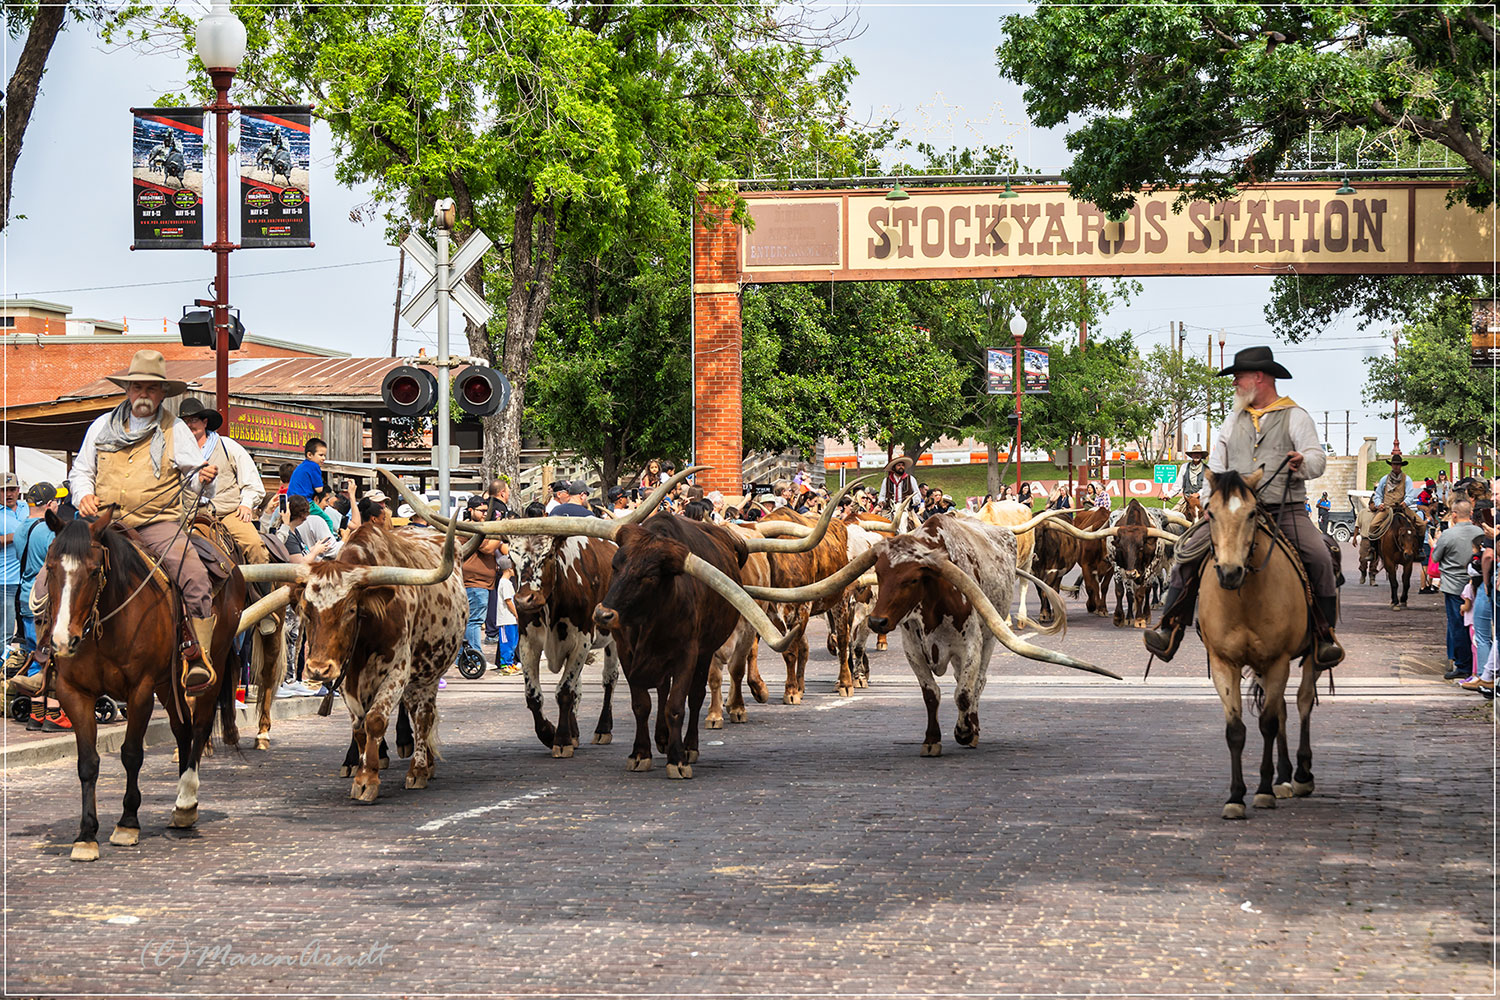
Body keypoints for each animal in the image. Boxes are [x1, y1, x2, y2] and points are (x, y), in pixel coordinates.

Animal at [38, 509, 276, 863]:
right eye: (51, 567)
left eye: (94, 570)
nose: (63, 640)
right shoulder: (74, 693)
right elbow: (88, 763)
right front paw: (86, 835)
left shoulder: (140, 691)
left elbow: (132, 754)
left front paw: (127, 823)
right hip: (168, 683)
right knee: (183, 729)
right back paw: (182, 806)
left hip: (211, 668)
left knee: (200, 726)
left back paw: (186, 800)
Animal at [1188, 473, 1320, 827]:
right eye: (1210, 512)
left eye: (1250, 514)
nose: (1230, 572)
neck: (1244, 598)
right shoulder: (1224, 663)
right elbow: (1236, 730)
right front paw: (1236, 797)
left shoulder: (1278, 661)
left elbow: (1268, 724)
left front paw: (1262, 791)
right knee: (1283, 708)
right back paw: (1284, 778)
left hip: (1311, 655)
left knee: (1302, 702)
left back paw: (1301, 775)